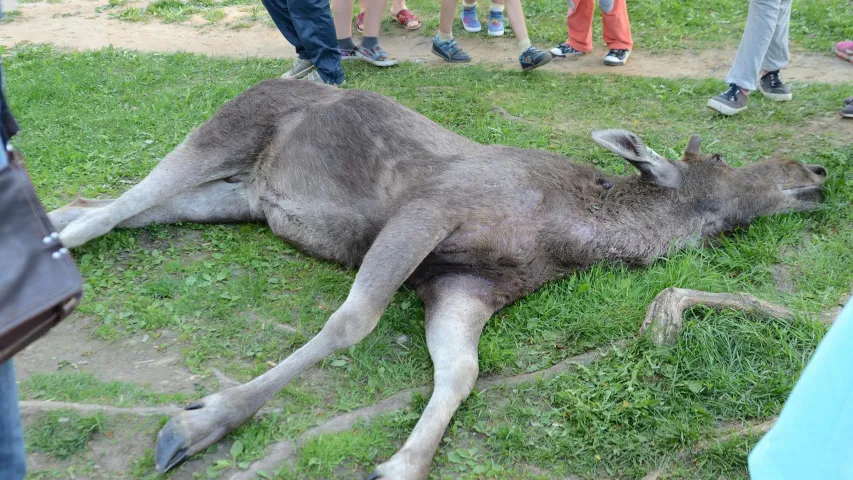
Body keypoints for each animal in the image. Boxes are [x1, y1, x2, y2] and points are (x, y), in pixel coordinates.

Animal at [48, 80, 824, 478]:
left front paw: (401, 464)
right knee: (119, 205)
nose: (814, 168)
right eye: (720, 158)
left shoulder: (463, 288)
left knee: (117, 209)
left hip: (241, 198)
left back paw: (57, 218)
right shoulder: (427, 212)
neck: (574, 237)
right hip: (224, 131)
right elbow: (352, 321)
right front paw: (202, 419)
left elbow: (460, 372)